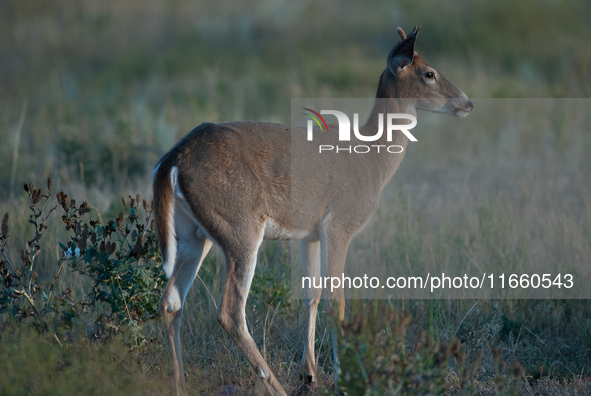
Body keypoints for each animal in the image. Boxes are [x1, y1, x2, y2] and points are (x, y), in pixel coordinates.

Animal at [154, 25, 476, 396]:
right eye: (429, 73)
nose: (467, 102)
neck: (373, 158)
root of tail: (173, 159)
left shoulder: (308, 233)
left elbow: (312, 294)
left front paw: (310, 373)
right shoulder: (340, 225)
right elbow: (338, 299)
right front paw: (343, 377)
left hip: (193, 233)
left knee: (171, 300)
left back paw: (180, 384)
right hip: (240, 228)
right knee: (230, 311)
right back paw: (275, 386)